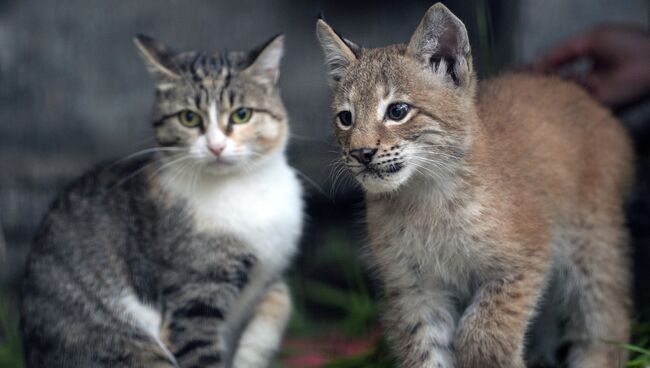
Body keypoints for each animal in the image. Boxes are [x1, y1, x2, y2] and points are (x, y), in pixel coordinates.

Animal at [21, 33, 302, 366]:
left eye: (242, 114)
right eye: (189, 118)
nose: (216, 146)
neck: (242, 188)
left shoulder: (269, 274)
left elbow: (280, 302)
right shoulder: (191, 298)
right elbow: (202, 352)